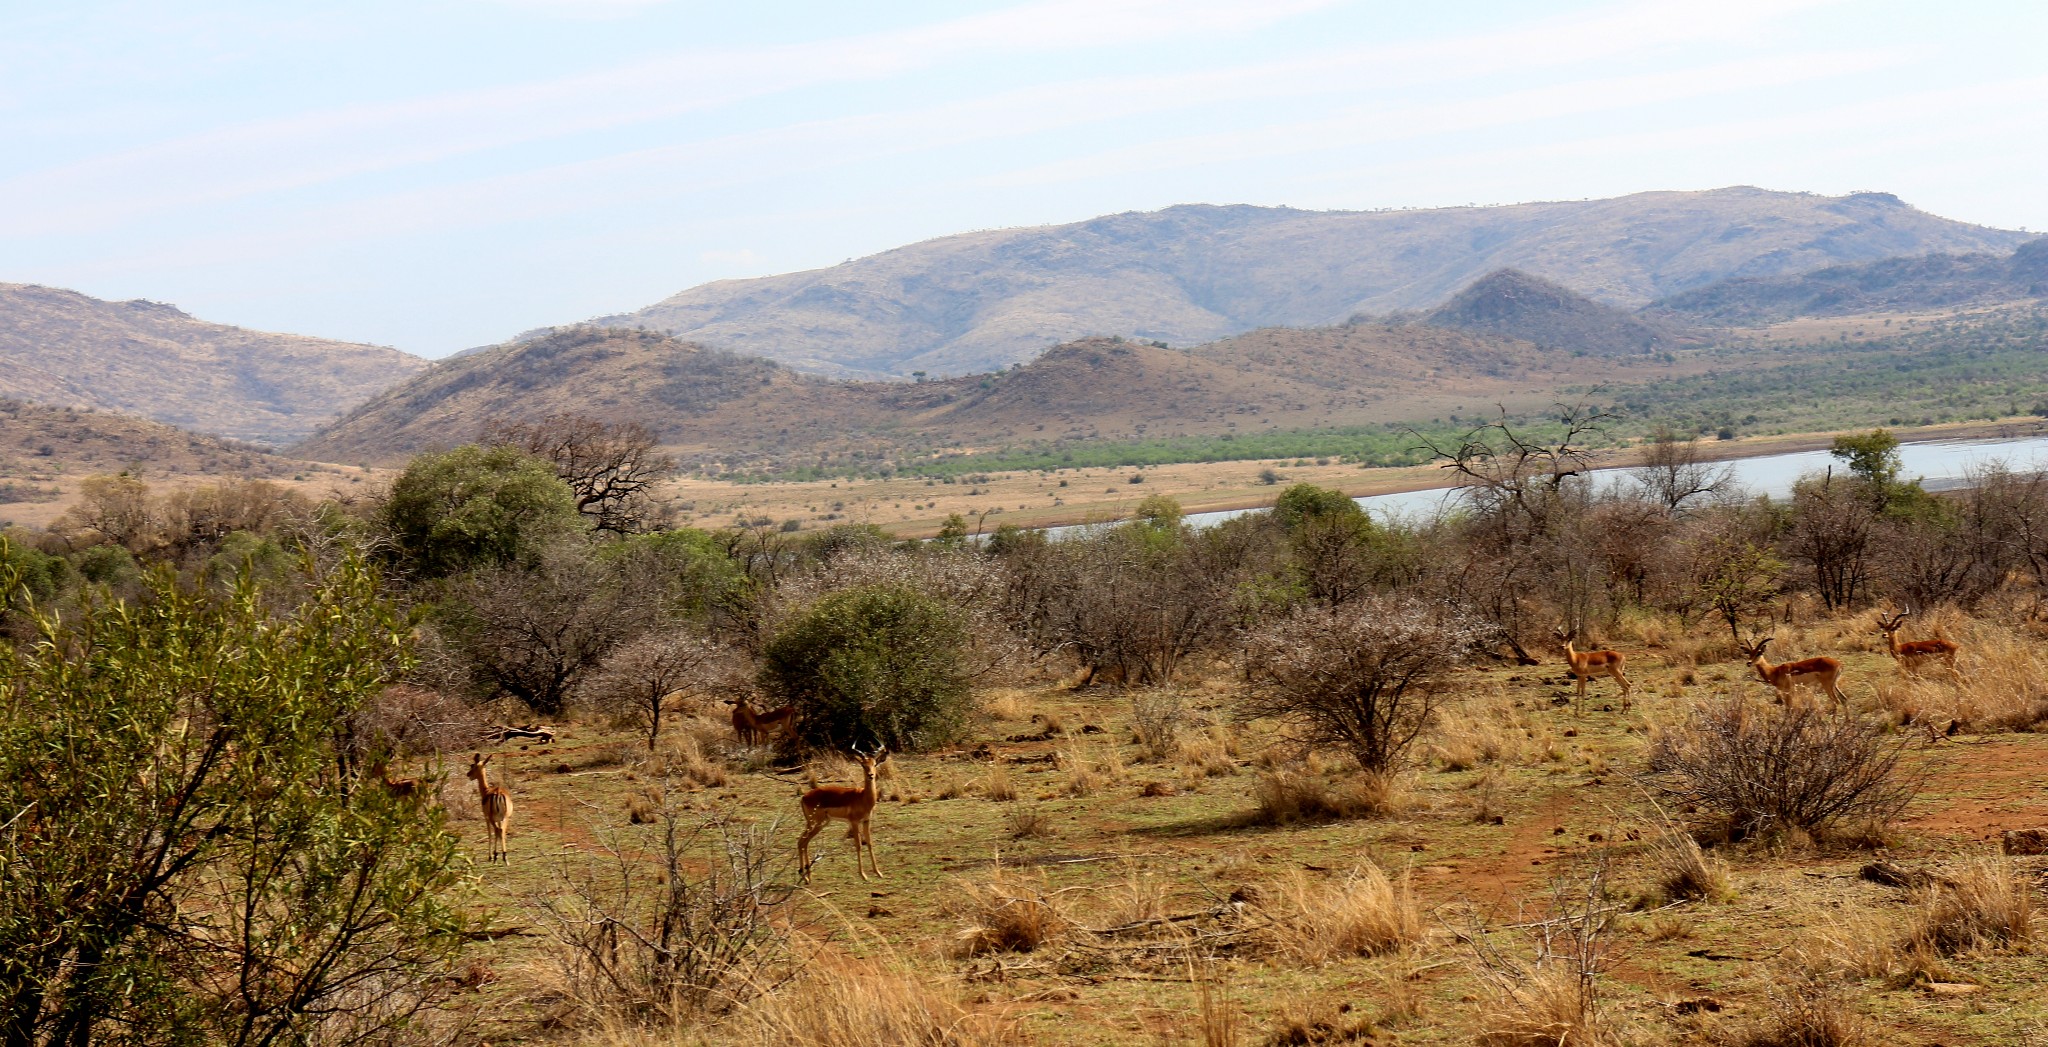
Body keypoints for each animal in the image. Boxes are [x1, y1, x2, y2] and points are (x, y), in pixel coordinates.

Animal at [794, 745, 884, 885]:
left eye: (874, 764)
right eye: (863, 765)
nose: (871, 775)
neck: (863, 797)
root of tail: (804, 797)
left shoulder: (866, 821)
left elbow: (869, 843)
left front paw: (878, 873)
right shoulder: (854, 822)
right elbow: (858, 845)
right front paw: (863, 875)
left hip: (818, 824)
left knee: (803, 842)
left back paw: (807, 877)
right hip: (815, 823)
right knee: (802, 841)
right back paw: (805, 876)